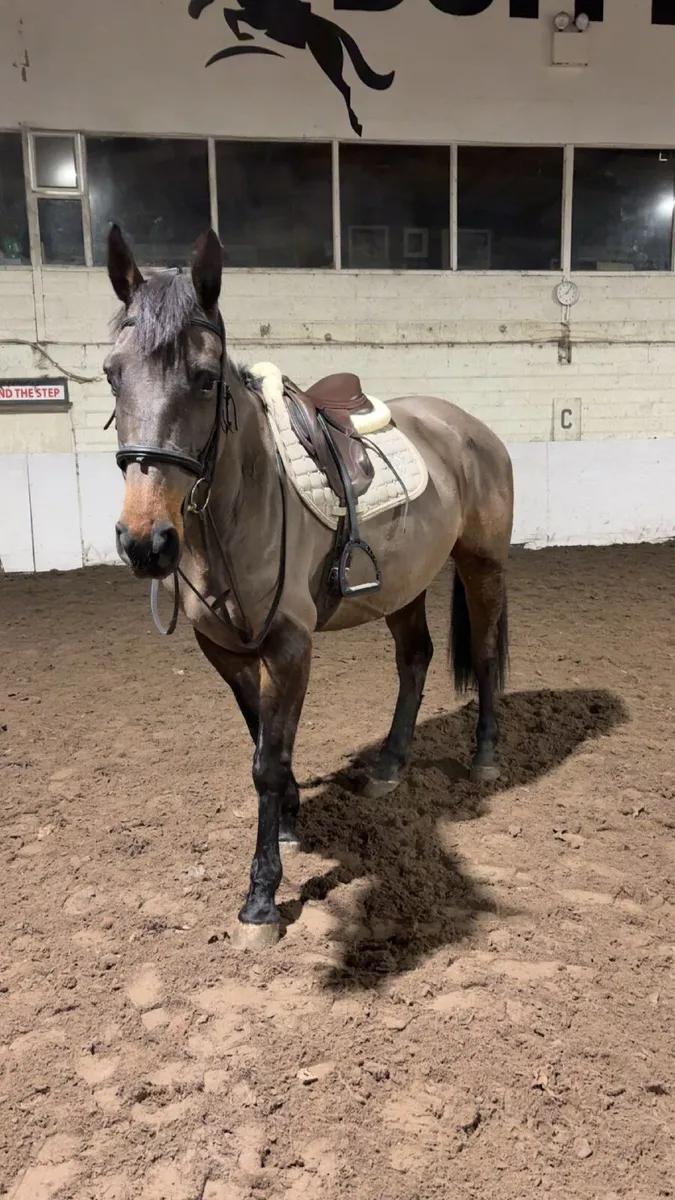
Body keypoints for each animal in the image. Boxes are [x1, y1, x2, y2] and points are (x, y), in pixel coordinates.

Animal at [104, 225, 514, 949]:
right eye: (110, 373)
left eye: (205, 379)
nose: (145, 542)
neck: (244, 504)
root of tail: (469, 428)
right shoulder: (226, 650)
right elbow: (261, 741)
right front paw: (292, 821)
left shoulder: (291, 647)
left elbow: (267, 760)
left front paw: (261, 899)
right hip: (403, 586)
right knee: (415, 660)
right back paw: (389, 767)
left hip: (482, 565)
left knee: (486, 656)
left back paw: (485, 757)